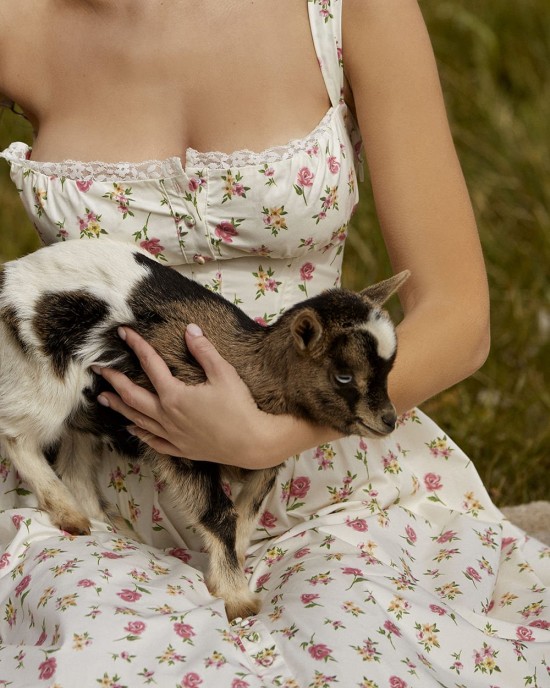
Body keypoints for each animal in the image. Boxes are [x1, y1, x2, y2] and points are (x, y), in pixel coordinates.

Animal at [1, 241, 410, 620]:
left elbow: (248, 509)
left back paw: (107, 525)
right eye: (344, 376)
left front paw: (228, 574)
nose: (388, 420)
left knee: (75, 460)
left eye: (390, 369)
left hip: (88, 401)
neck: (252, 370)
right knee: (16, 432)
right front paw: (238, 600)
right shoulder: (180, 441)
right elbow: (220, 514)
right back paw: (69, 515)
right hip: (43, 375)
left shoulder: (262, 449)